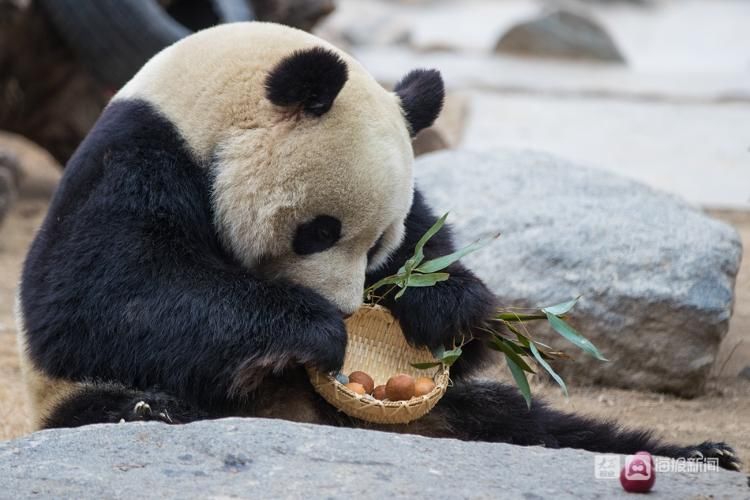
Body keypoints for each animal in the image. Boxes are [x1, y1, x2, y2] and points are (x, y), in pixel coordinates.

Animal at [14, 21, 744, 470]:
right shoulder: (136, 160)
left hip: (462, 416)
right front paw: (306, 330)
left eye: (380, 247)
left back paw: (698, 454)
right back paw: (150, 408)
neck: (203, 108)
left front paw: (442, 309)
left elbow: (444, 272)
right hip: (78, 398)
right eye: (319, 230)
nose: (346, 309)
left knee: (540, 427)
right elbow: (97, 304)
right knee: (109, 404)